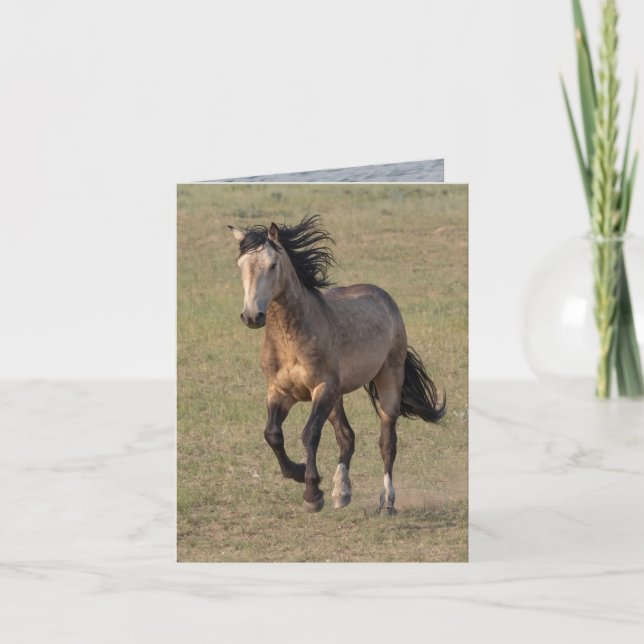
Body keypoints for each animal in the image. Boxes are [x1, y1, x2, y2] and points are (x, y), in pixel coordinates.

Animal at [228, 215, 445, 514]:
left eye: (272, 265)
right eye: (241, 266)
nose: (252, 316)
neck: (289, 339)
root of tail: (384, 297)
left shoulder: (323, 388)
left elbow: (309, 434)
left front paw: (312, 494)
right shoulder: (280, 392)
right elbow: (272, 434)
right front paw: (299, 473)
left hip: (387, 382)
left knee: (387, 442)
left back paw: (386, 502)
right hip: (337, 398)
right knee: (347, 437)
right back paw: (341, 492)